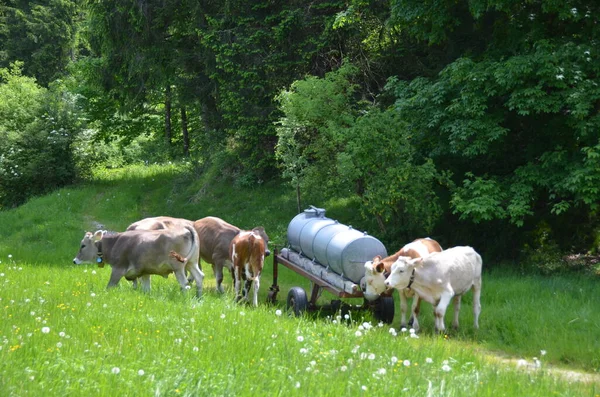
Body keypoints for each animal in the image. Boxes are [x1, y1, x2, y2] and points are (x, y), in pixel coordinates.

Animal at [72, 226, 204, 296]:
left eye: (83, 245)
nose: (74, 260)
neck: (115, 243)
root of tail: (185, 228)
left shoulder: (118, 269)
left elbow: (110, 286)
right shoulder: (144, 272)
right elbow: (146, 289)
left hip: (178, 267)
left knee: (184, 283)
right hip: (192, 263)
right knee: (199, 277)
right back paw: (199, 298)